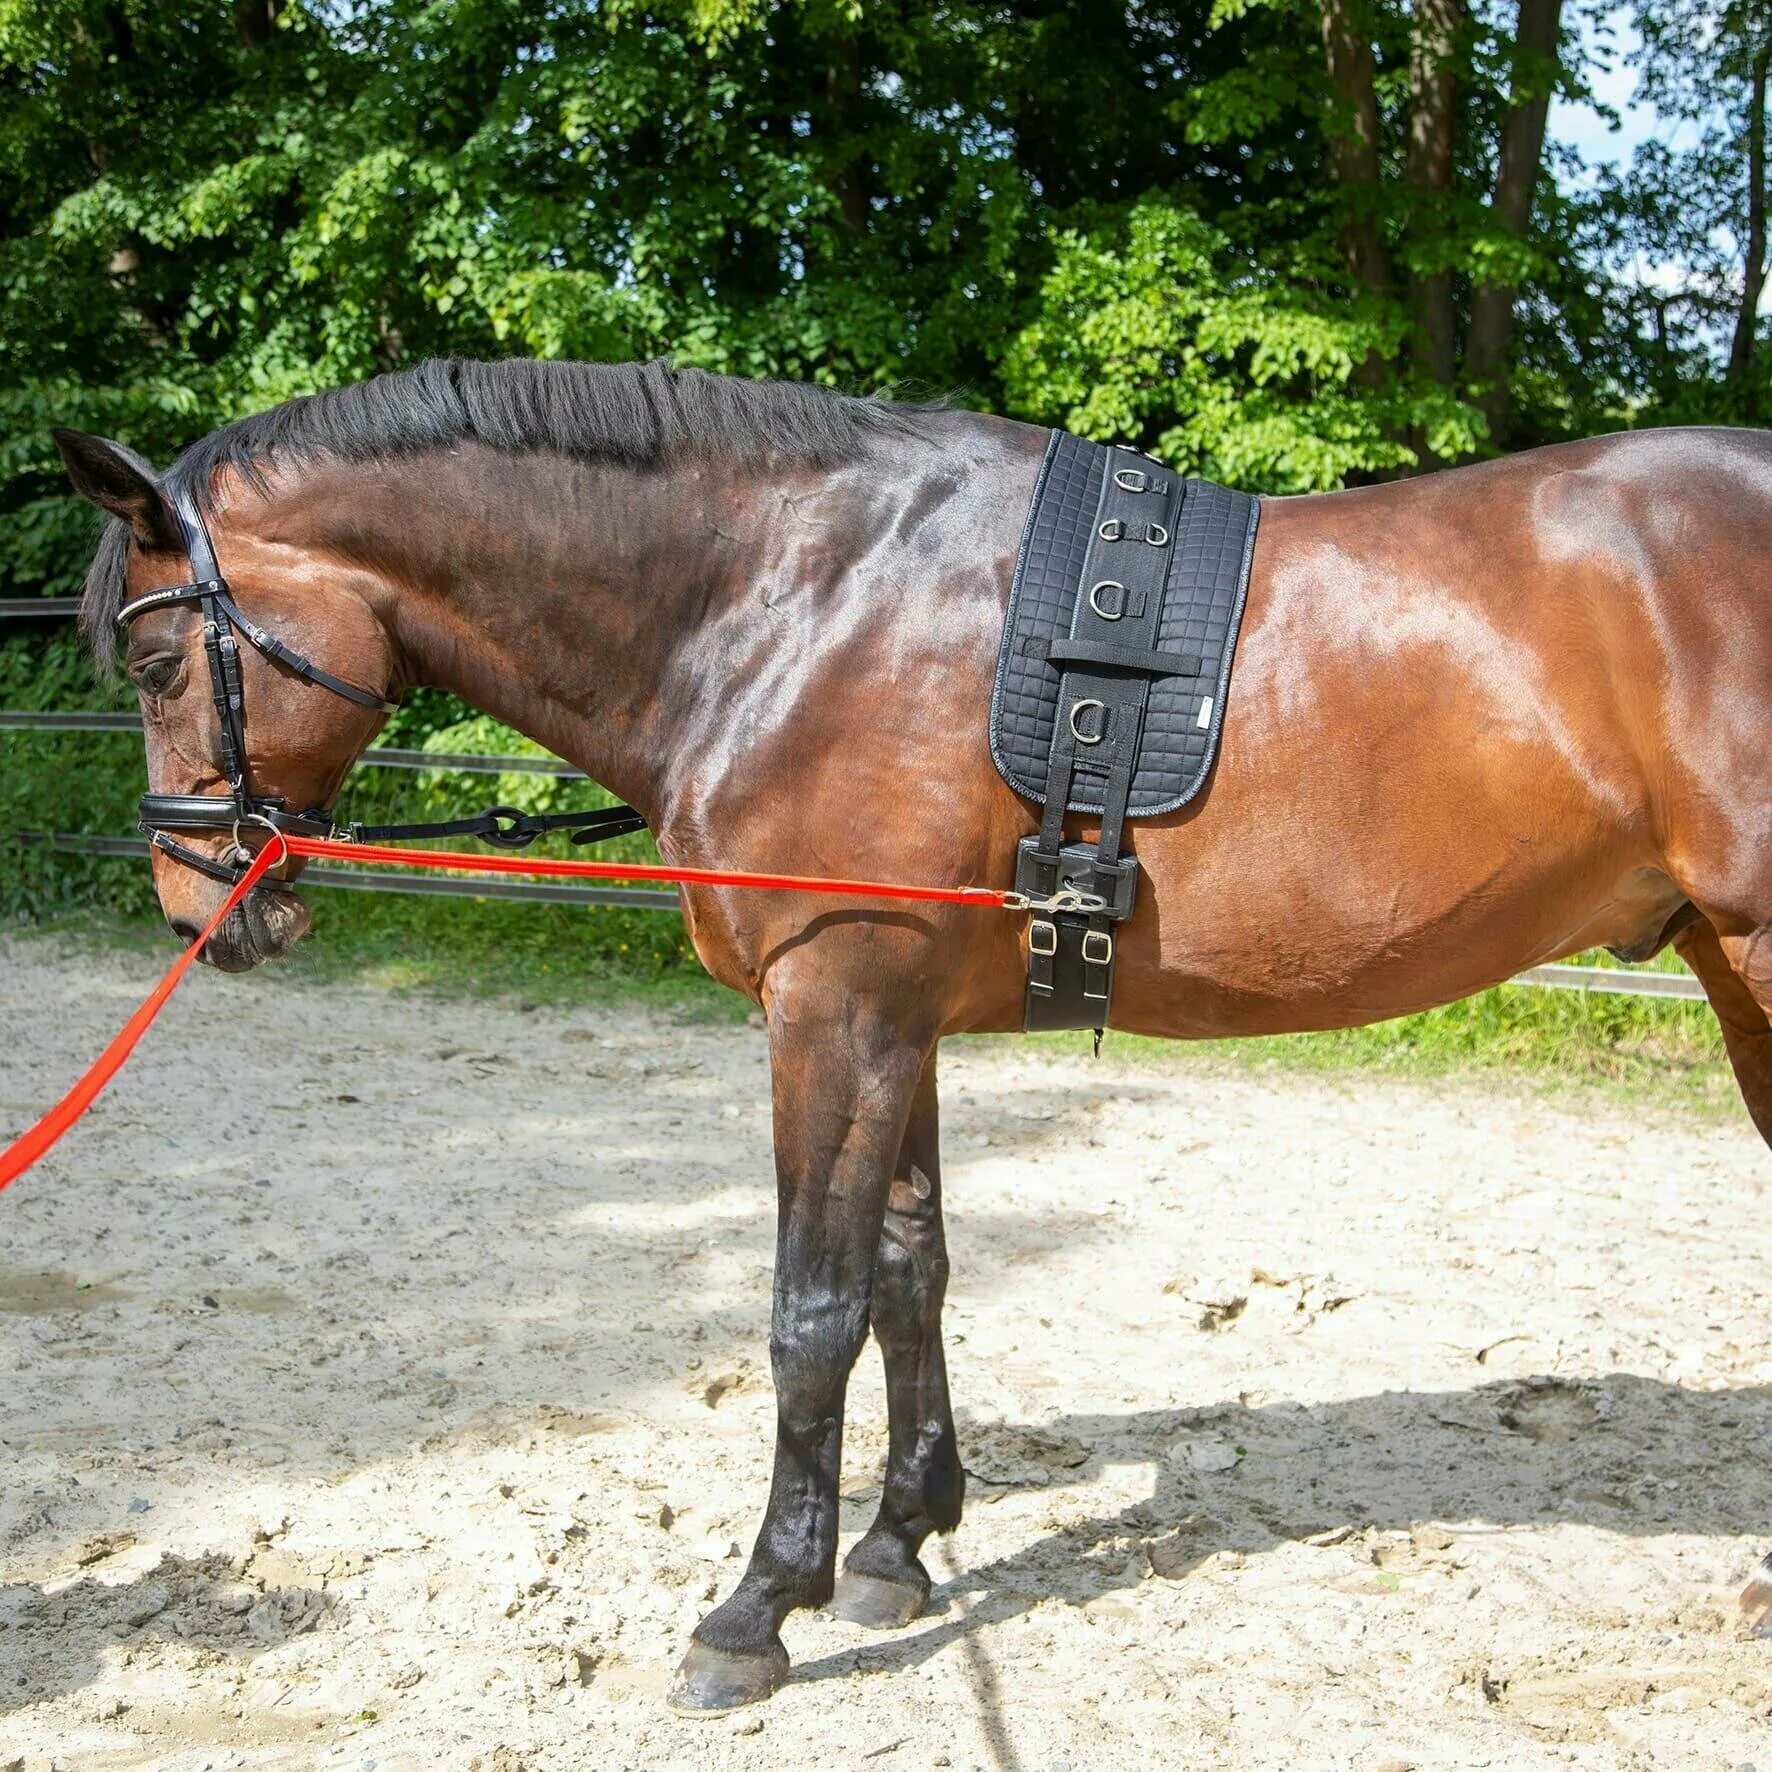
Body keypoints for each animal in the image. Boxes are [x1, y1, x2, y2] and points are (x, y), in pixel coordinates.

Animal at [48, 356, 1764, 1701]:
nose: (198, 906)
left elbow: (811, 1309)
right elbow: (909, 1269)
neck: (792, 599)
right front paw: (896, 1542)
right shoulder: (903, 1016)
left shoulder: (837, 1004)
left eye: (158, 655)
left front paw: (758, 1607)